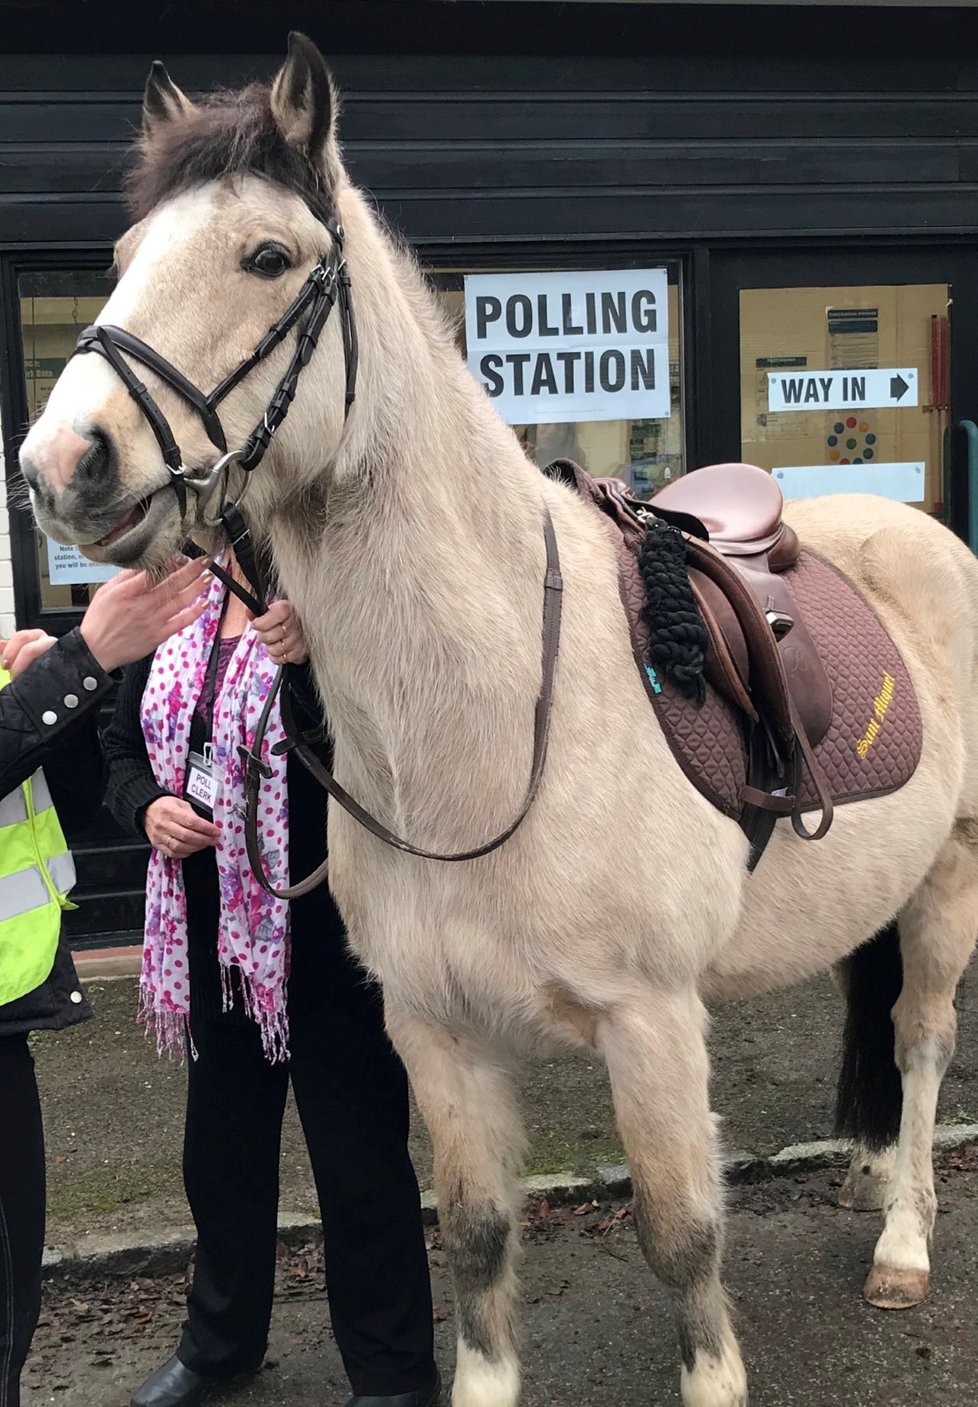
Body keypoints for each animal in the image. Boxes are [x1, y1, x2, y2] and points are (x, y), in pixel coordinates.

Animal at [21, 33, 978, 1407]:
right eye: (121, 254)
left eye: (267, 257)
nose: (62, 466)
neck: (489, 724)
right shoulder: (436, 1030)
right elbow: (472, 1236)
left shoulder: (649, 1023)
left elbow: (680, 1233)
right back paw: (874, 1175)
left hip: (951, 872)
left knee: (920, 1039)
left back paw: (905, 1239)